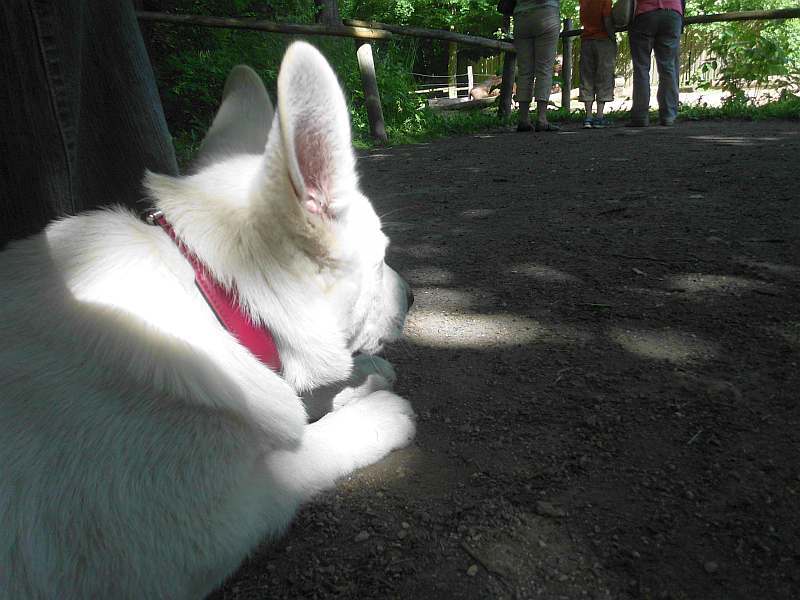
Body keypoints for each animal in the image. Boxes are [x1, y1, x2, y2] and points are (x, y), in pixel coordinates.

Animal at [1, 43, 418, 600]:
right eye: (382, 258)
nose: (415, 297)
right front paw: (373, 413)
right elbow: (300, 453)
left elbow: (295, 399)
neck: (211, 296)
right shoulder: (210, 527)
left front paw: (362, 378)